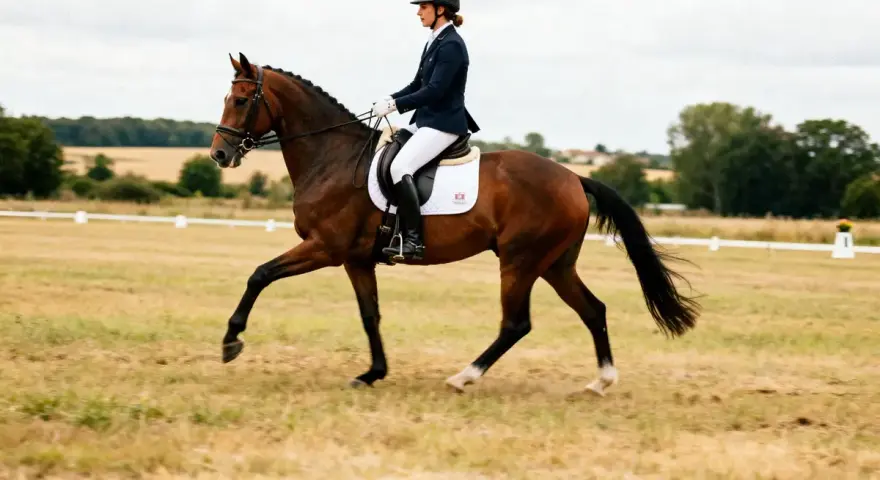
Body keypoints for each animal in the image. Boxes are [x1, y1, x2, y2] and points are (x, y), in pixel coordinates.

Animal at [209, 52, 701, 396]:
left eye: (240, 100)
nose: (219, 154)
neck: (333, 158)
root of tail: (573, 178)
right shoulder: (355, 259)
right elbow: (370, 314)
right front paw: (372, 373)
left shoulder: (325, 247)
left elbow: (260, 275)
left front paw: (231, 341)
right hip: (555, 264)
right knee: (592, 310)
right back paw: (601, 381)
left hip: (521, 261)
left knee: (516, 324)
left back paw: (463, 377)